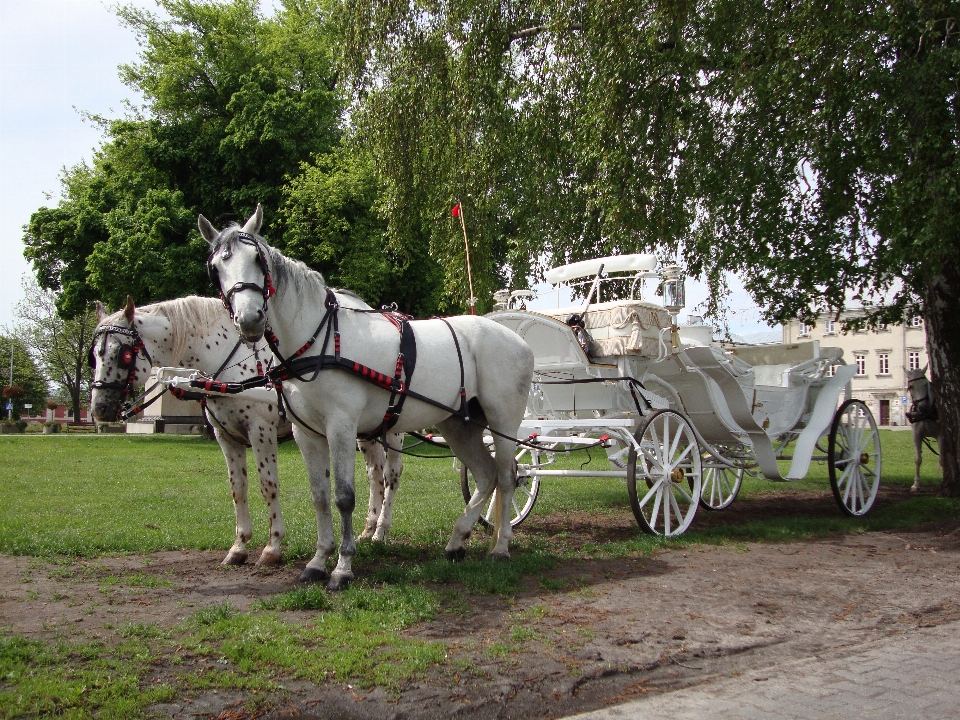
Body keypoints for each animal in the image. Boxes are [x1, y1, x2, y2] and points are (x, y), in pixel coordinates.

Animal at [88, 296, 406, 564]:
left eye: (123, 354)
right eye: (94, 355)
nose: (100, 408)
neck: (225, 361)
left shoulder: (260, 430)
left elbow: (268, 485)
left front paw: (273, 545)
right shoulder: (225, 436)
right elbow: (238, 488)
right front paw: (239, 545)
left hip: (392, 430)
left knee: (390, 475)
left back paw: (381, 530)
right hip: (364, 431)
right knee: (374, 473)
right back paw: (368, 528)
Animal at [201, 205, 532, 588]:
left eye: (257, 258)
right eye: (216, 268)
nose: (250, 319)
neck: (319, 339)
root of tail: (518, 340)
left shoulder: (341, 426)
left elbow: (344, 497)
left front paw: (343, 567)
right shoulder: (306, 433)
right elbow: (320, 496)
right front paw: (318, 560)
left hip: (503, 422)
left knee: (507, 476)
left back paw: (501, 547)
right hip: (458, 425)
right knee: (485, 474)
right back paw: (457, 540)